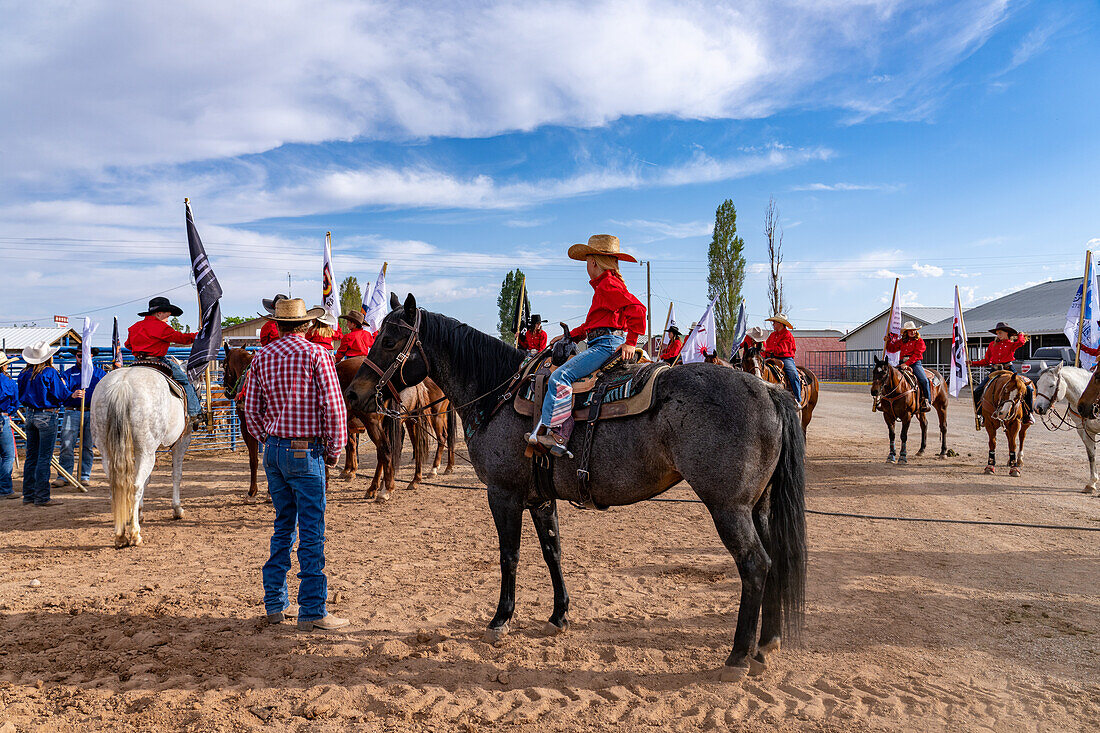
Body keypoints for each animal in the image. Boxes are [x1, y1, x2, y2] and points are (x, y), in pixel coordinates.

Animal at [345, 294, 809, 677]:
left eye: (390, 340)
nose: (353, 394)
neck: (497, 395)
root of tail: (769, 390)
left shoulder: (504, 495)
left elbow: (510, 557)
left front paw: (500, 620)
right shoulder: (540, 498)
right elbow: (553, 552)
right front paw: (559, 616)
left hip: (728, 508)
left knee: (755, 564)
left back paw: (738, 656)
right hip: (758, 506)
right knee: (774, 560)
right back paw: (766, 645)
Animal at [1029, 363, 1100, 493]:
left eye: (1051, 385)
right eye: (1038, 384)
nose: (1038, 408)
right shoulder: (1084, 431)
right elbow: (1091, 455)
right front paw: (1091, 484)